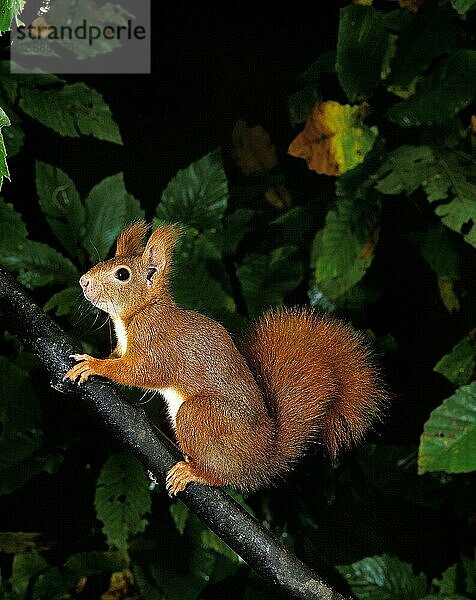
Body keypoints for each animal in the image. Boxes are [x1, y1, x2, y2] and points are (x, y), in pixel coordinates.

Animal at [64, 223, 386, 494]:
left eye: (122, 274)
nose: (83, 281)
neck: (138, 313)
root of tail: (263, 458)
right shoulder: (123, 346)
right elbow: (118, 357)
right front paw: (93, 356)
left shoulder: (157, 346)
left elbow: (142, 373)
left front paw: (94, 365)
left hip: (202, 416)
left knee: (224, 475)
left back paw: (196, 472)